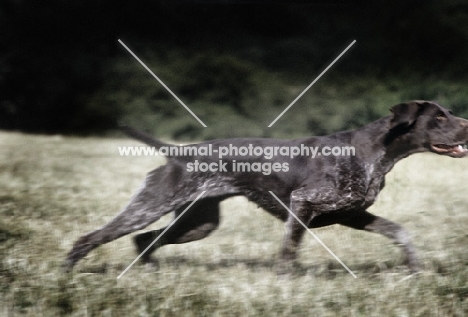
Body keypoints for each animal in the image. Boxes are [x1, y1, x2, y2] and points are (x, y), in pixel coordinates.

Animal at [65, 100, 468, 272]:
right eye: (438, 117)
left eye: (448, 113)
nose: (467, 124)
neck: (376, 151)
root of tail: (178, 152)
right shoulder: (304, 204)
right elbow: (289, 251)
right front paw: (286, 282)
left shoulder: (351, 214)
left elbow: (400, 232)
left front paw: (414, 266)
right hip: (150, 207)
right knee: (89, 239)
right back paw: (68, 275)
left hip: (197, 223)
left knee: (144, 241)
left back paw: (148, 272)